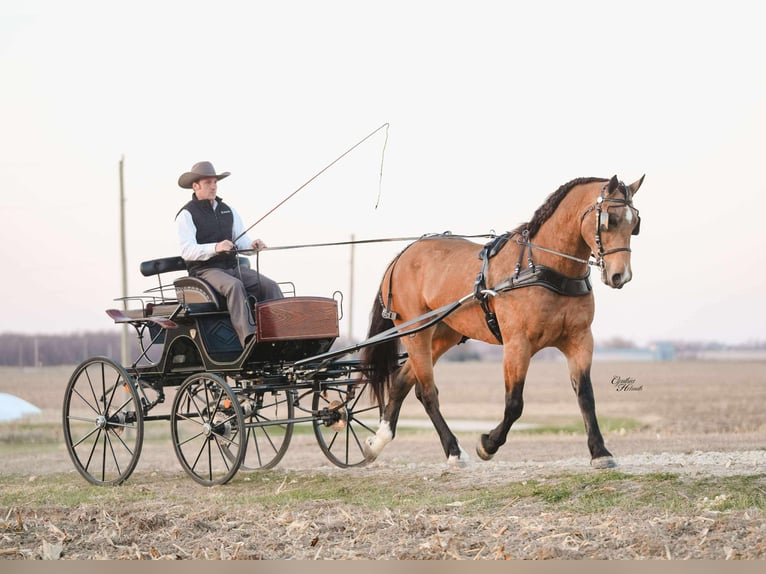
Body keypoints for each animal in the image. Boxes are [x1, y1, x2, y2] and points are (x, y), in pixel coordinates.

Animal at [361, 175, 644, 468]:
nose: (621, 275)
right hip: (414, 331)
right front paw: (488, 444)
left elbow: (586, 396)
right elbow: (514, 403)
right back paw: (454, 450)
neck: (543, 267)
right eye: (610, 219)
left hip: (441, 333)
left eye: (634, 222)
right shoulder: (517, 344)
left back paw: (377, 442)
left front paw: (600, 452)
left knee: (402, 381)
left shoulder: (580, 340)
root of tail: (402, 256)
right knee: (427, 391)